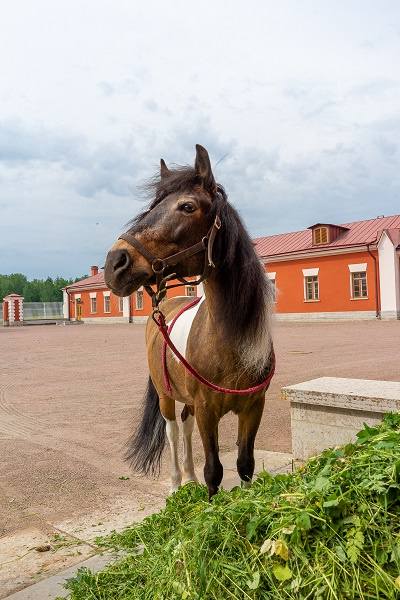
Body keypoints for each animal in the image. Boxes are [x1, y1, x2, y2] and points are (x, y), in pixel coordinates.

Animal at [104, 143, 276, 500]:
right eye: (153, 207)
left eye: (187, 206)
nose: (115, 262)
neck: (228, 341)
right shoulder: (208, 409)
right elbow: (215, 471)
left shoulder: (253, 407)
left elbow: (244, 464)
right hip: (166, 397)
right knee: (171, 431)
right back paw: (175, 485)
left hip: (189, 403)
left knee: (184, 428)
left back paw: (190, 479)